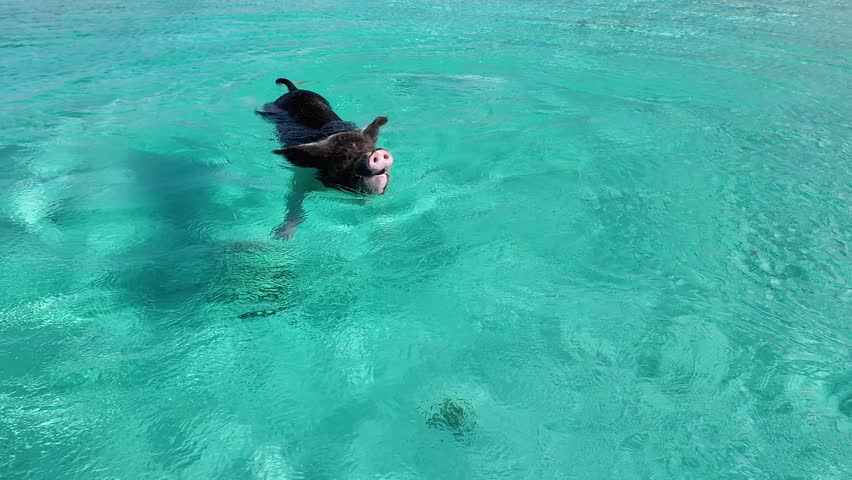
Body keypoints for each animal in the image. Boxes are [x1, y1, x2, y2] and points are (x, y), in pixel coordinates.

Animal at [257, 78, 394, 239]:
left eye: (369, 148)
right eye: (342, 158)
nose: (377, 153)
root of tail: (295, 90)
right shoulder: (301, 182)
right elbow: (295, 206)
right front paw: (281, 237)